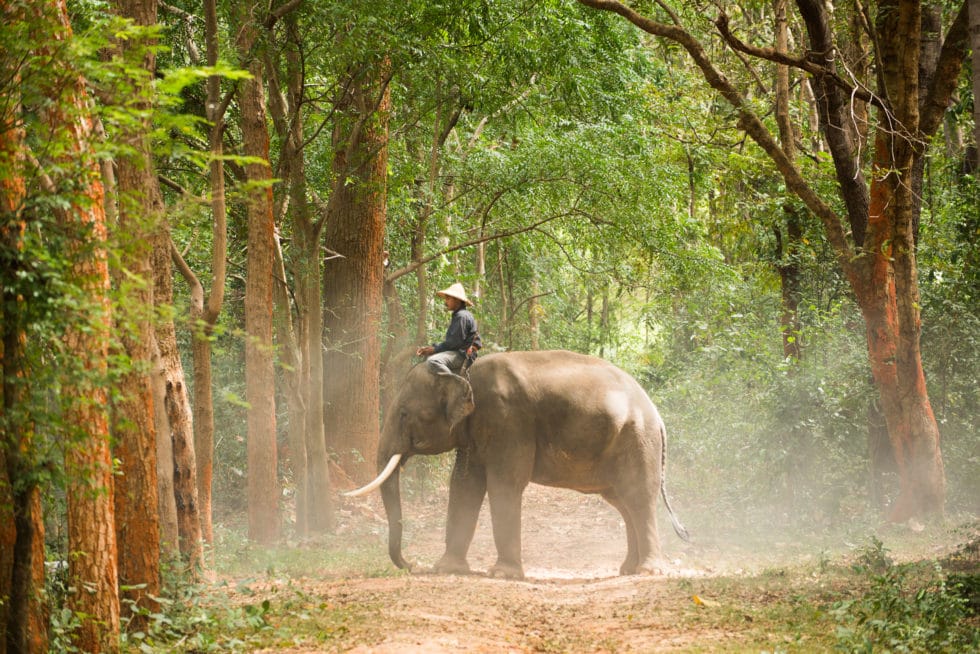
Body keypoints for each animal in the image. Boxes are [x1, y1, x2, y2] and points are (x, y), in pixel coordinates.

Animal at [346, 350, 689, 579]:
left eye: (404, 414)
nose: (412, 565)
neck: (464, 372)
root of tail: (657, 417)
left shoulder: (507, 420)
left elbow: (504, 484)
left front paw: (502, 574)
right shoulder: (476, 431)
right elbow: (464, 486)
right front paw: (446, 569)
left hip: (638, 441)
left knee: (638, 497)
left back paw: (648, 572)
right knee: (623, 502)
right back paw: (628, 569)